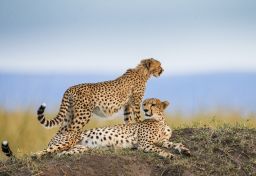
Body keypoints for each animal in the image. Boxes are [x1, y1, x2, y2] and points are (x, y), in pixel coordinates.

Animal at [34, 58, 164, 157]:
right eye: (159, 65)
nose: (162, 70)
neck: (143, 72)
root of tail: (70, 87)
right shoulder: (136, 103)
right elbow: (138, 118)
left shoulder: (127, 106)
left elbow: (128, 121)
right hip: (83, 114)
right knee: (71, 130)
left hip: (69, 114)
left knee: (62, 130)